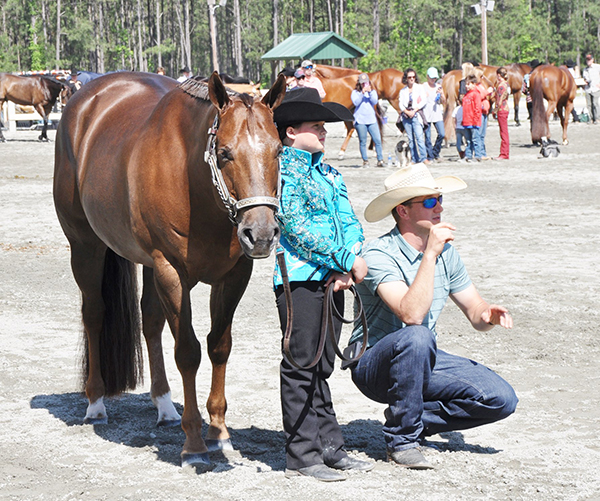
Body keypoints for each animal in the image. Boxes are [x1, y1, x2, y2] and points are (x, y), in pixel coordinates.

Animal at [53, 72, 286, 466]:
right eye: (224, 153)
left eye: (279, 151)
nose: (261, 234)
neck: (197, 184)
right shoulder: (172, 272)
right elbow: (188, 352)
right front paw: (193, 443)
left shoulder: (233, 275)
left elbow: (219, 346)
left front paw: (219, 433)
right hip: (86, 246)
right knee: (94, 314)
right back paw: (95, 403)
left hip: (147, 265)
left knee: (150, 320)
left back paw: (163, 405)